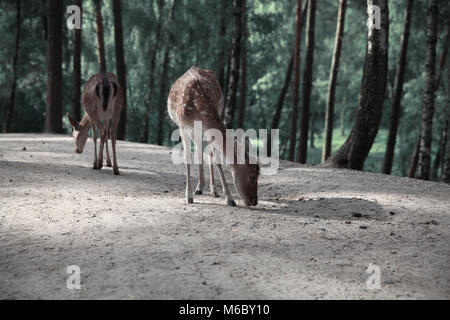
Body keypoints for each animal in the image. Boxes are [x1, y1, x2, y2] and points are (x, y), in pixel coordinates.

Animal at [169, 66, 260, 208]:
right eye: (252, 176)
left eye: (259, 173)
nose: (254, 201)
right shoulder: (183, 126)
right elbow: (187, 157)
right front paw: (188, 196)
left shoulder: (209, 129)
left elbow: (217, 159)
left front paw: (230, 198)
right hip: (194, 130)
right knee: (199, 149)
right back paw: (199, 188)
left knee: (206, 151)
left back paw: (210, 189)